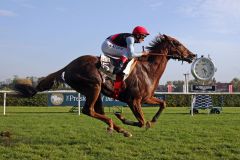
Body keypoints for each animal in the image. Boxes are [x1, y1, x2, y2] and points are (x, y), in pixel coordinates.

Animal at [14, 34, 196, 137]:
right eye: (177, 43)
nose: (193, 55)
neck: (148, 69)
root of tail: (68, 66)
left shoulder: (147, 97)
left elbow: (163, 103)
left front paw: (153, 120)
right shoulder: (134, 100)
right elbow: (141, 121)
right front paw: (123, 117)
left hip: (95, 91)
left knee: (96, 111)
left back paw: (120, 130)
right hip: (93, 86)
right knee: (88, 110)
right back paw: (112, 125)